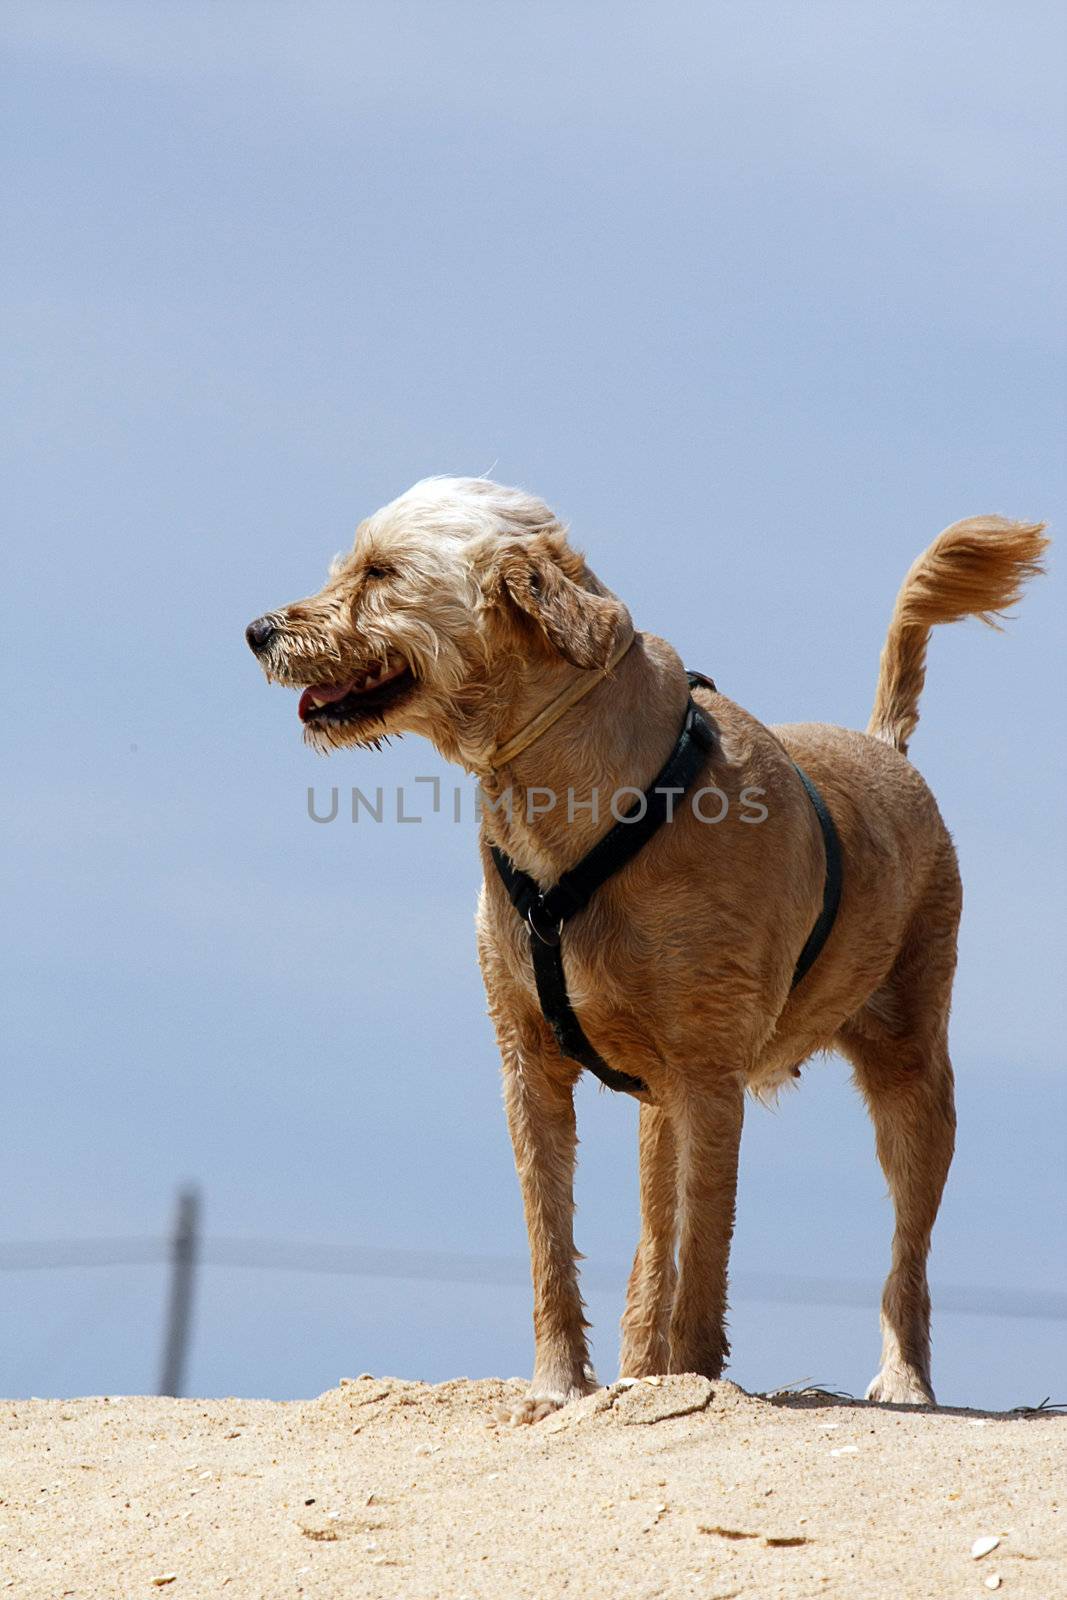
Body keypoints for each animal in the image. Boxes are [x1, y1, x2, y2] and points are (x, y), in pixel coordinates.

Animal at [246, 476, 1049, 1427]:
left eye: (379, 572)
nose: (256, 630)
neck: (577, 806)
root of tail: (883, 745)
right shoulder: (532, 1065)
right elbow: (557, 1243)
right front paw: (563, 1385)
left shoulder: (709, 1075)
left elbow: (703, 1250)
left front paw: (696, 1383)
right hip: (659, 1101)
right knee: (649, 1248)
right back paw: (639, 1370)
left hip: (910, 1069)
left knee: (905, 1251)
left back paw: (903, 1380)